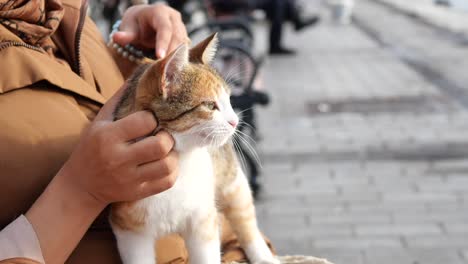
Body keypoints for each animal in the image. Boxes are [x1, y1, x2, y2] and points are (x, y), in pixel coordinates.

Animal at [109, 34, 278, 264]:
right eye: (210, 105)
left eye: (229, 100)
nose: (235, 121)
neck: (180, 162)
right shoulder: (130, 232)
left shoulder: (203, 220)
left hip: (230, 180)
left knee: (244, 217)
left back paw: (262, 255)